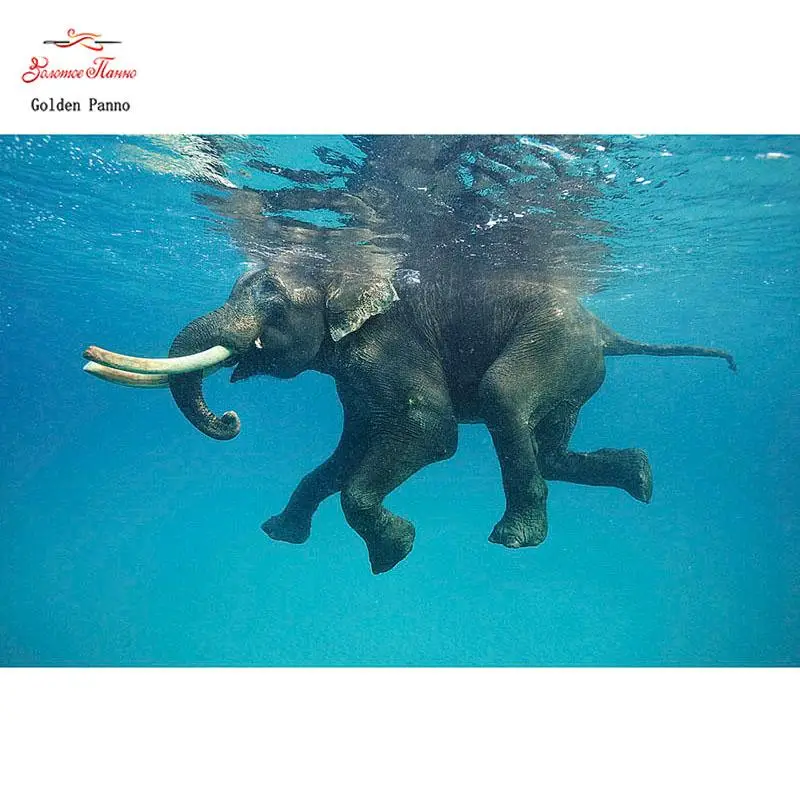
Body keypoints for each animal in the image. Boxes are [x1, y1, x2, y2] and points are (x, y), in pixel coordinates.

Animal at [83, 267, 736, 574]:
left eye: (272, 301)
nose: (229, 418)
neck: (345, 276)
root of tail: (606, 329)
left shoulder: (393, 346)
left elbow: (429, 432)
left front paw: (394, 553)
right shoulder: (354, 377)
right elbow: (346, 453)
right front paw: (279, 533)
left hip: (556, 346)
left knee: (504, 399)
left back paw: (515, 539)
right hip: (575, 369)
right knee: (547, 448)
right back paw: (642, 477)